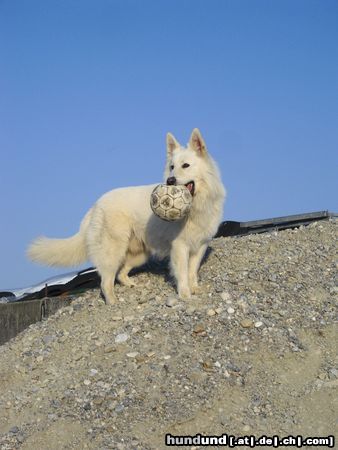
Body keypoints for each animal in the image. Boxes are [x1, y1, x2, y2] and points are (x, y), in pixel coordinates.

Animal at [27, 128, 226, 304]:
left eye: (185, 165)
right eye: (171, 167)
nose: (170, 181)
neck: (196, 207)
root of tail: (95, 205)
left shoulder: (200, 246)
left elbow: (192, 271)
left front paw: (195, 289)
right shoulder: (180, 247)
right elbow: (183, 273)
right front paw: (184, 294)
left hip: (139, 255)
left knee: (121, 274)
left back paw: (129, 285)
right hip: (113, 251)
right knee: (106, 282)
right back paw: (112, 302)